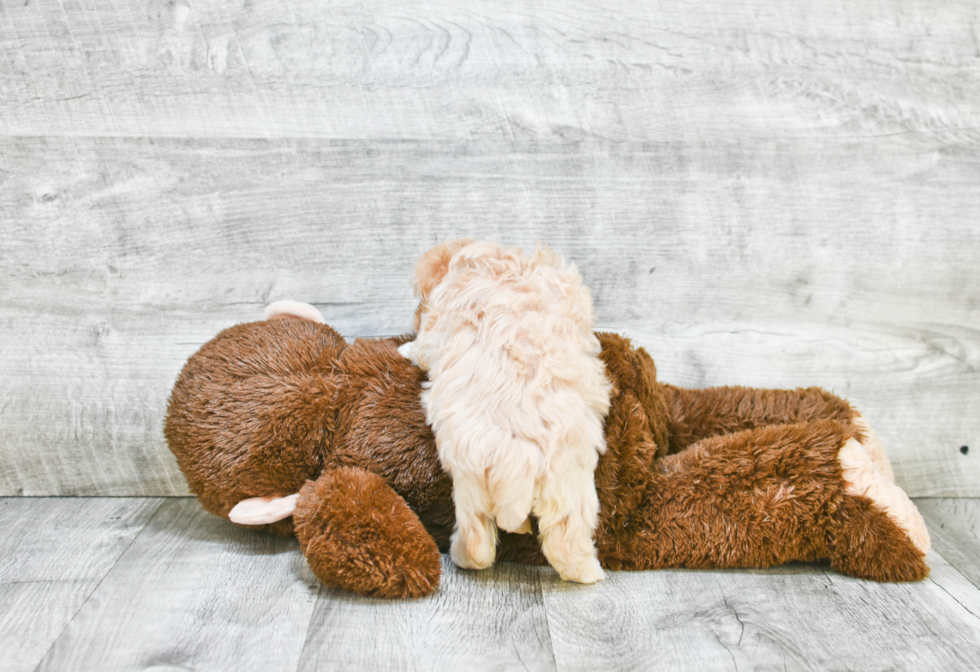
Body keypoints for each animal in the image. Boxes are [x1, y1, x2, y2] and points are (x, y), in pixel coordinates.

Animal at [398, 240, 612, 584]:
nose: (413, 319)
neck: (496, 262)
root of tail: (520, 457)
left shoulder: (435, 329)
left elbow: (420, 347)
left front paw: (404, 347)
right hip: (567, 482)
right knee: (562, 539)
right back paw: (587, 572)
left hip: (472, 476)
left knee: (478, 537)